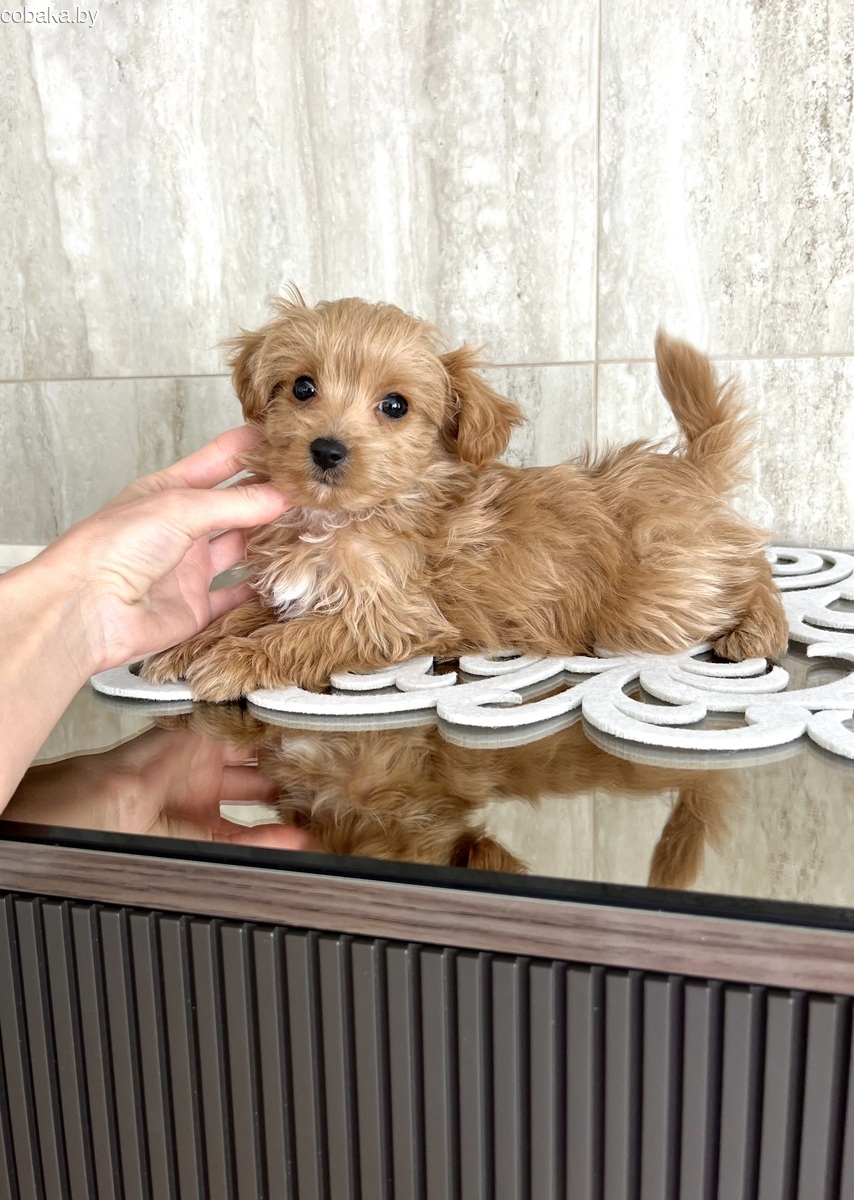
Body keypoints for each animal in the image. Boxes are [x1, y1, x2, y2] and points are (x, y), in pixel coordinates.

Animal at [143, 294, 788, 700]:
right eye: (302, 388)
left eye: (395, 405)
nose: (326, 449)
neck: (340, 518)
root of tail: (686, 472)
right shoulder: (296, 593)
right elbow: (247, 613)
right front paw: (187, 647)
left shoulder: (392, 615)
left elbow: (302, 634)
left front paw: (234, 661)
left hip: (658, 593)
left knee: (752, 570)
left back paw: (757, 629)